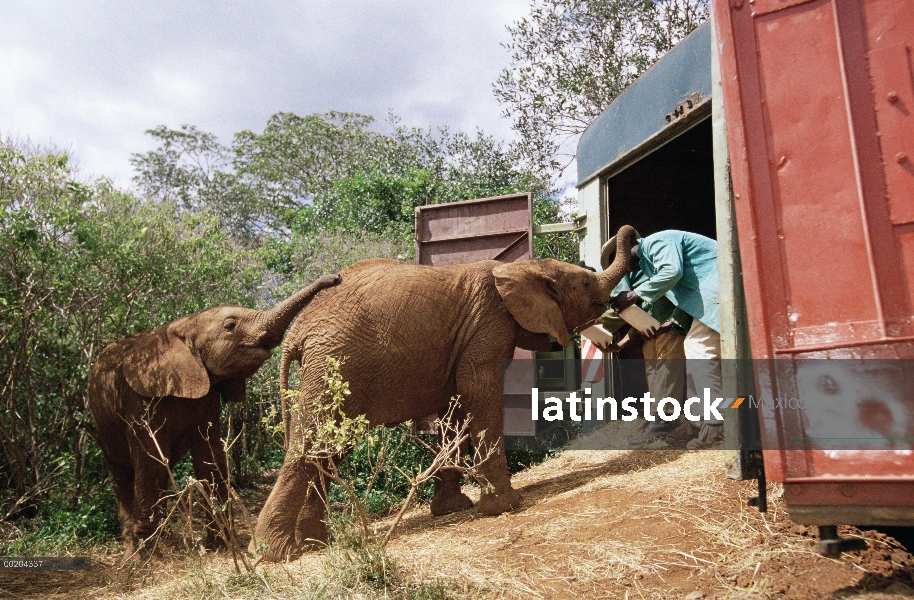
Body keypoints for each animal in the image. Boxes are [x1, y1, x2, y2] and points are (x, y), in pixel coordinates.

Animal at [87, 274, 338, 556]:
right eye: (230, 325)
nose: (336, 277)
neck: (181, 328)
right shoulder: (140, 397)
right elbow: (150, 458)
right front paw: (152, 556)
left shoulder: (206, 395)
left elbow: (209, 456)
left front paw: (219, 547)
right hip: (103, 422)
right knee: (123, 473)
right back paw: (135, 550)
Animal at [249, 224, 636, 564]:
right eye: (584, 282)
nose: (631, 237)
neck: (520, 268)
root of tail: (298, 331)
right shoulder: (488, 324)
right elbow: (479, 391)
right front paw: (506, 506)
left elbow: (455, 410)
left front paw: (454, 509)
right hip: (335, 363)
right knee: (310, 447)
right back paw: (274, 554)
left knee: (330, 452)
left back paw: (316, 543)